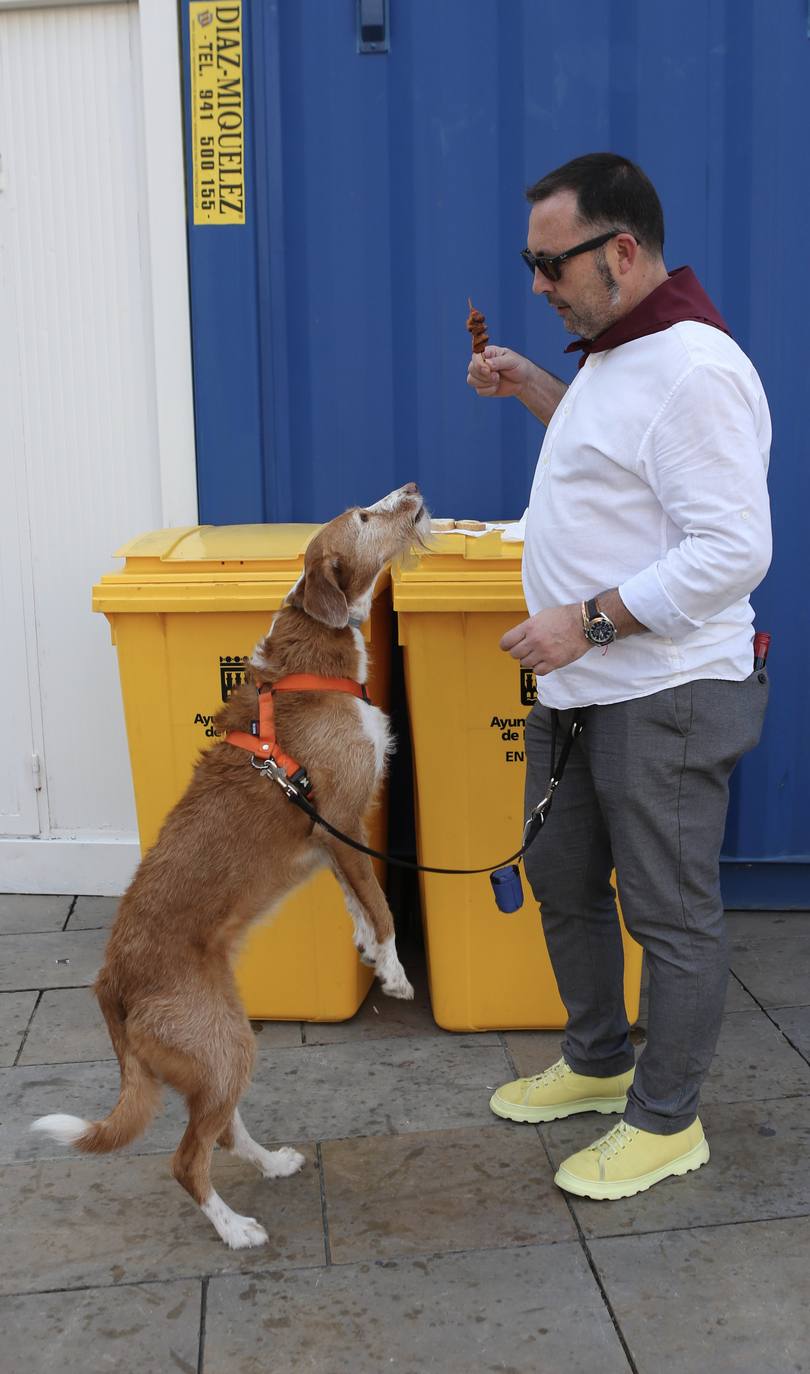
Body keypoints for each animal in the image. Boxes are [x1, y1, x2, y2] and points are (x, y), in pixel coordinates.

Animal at [33, 480, 431, 1247]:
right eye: (365, 517)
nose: (413, 490)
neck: (311, 667)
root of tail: (109, 983)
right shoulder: (343, 824)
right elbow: (381, 904)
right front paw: (395, 973)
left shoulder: (330, 839)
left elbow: (356, 902)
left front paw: (368, 953)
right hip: (221, 1043)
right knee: (186, 1159)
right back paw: (235, 1228)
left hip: (222, 1046)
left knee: (216, 1132)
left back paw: (270, 1164)